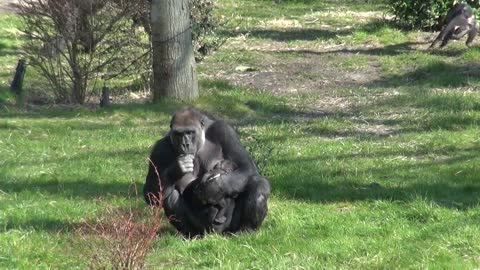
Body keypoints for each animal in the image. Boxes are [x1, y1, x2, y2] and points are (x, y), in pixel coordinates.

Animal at [143, 105, 270, 236]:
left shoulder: (223, 130)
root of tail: (216, 234)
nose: (185, 144)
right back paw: (190, 235)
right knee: (170, 196)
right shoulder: (159, 148)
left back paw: (246, 229)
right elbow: (151, 194)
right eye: (178, 134)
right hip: (204, 229)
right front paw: (177, 169)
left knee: (258, 183)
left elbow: (246, 167)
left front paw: (214, 188)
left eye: (190, 132)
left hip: (229, 227)